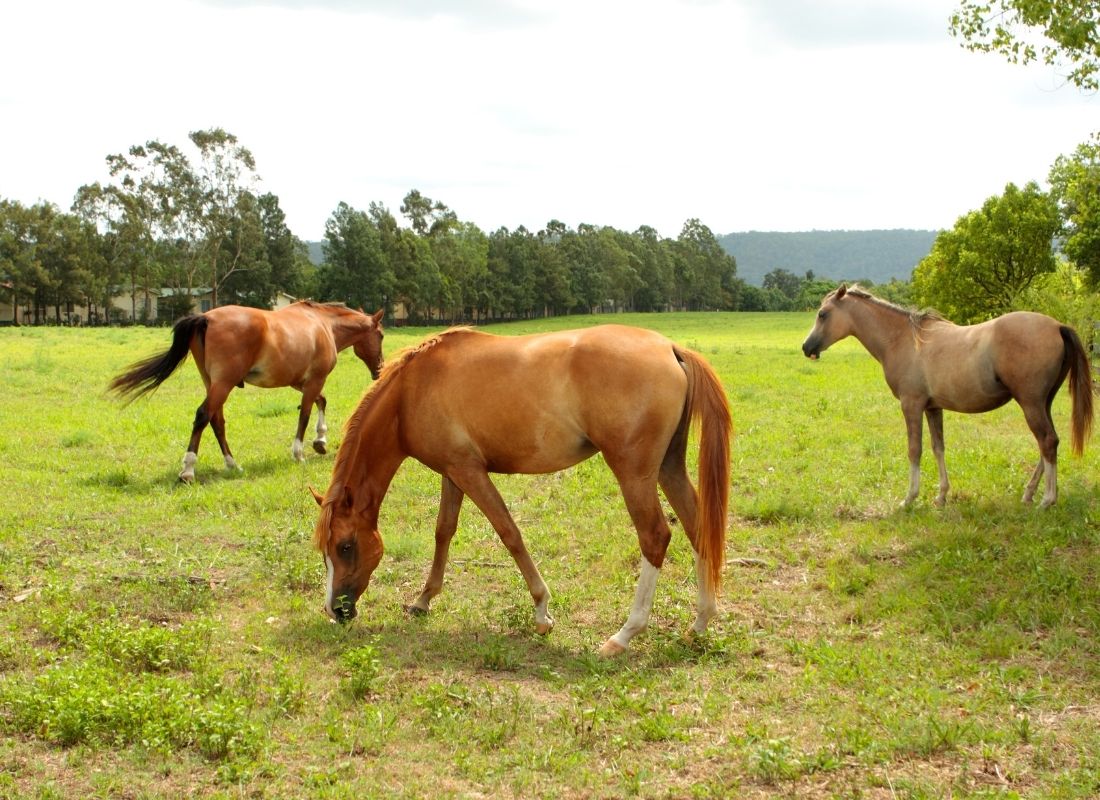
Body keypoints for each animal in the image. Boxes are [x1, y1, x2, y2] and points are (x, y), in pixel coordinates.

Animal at [110, 301, 385, 483]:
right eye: (381, 335)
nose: (380, 369)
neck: (323, 324)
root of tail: (206, 318)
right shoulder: (314, 380)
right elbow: (305, 414)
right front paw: (300, 453)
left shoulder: (300, 381)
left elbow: (321, 402)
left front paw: (320, 441)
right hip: (223, 384)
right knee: (203, 416)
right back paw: (188, 469)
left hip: (213, 383)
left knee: (216, 421)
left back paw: (232, 464)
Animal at [310, 324, 732, 657]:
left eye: (345, 546)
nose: (336, 611)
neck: (412, 391)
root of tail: (671, 348)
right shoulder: (452, 472)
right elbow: (443, 532)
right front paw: (423, 599)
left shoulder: (470, 472)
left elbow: (509, 532)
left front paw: (542, 612)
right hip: (668, 467)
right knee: (697, 528)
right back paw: (700, 623)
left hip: (634, 474)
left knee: (655, 536)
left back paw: (625, 634)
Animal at [802, 284, 1093, 507]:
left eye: (823, 314)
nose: (806, 347)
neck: (903, 340)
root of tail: (1057, 326)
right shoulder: (933, 408)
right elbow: (938, 448)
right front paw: (941, 496)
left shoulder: (911, 405)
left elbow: (915, 450)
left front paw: (909, 498)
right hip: (1043, 402)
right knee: (1050, 443)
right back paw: (1029, 493)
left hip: (1031, 403)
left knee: (1047, 441)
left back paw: (1047, 499)